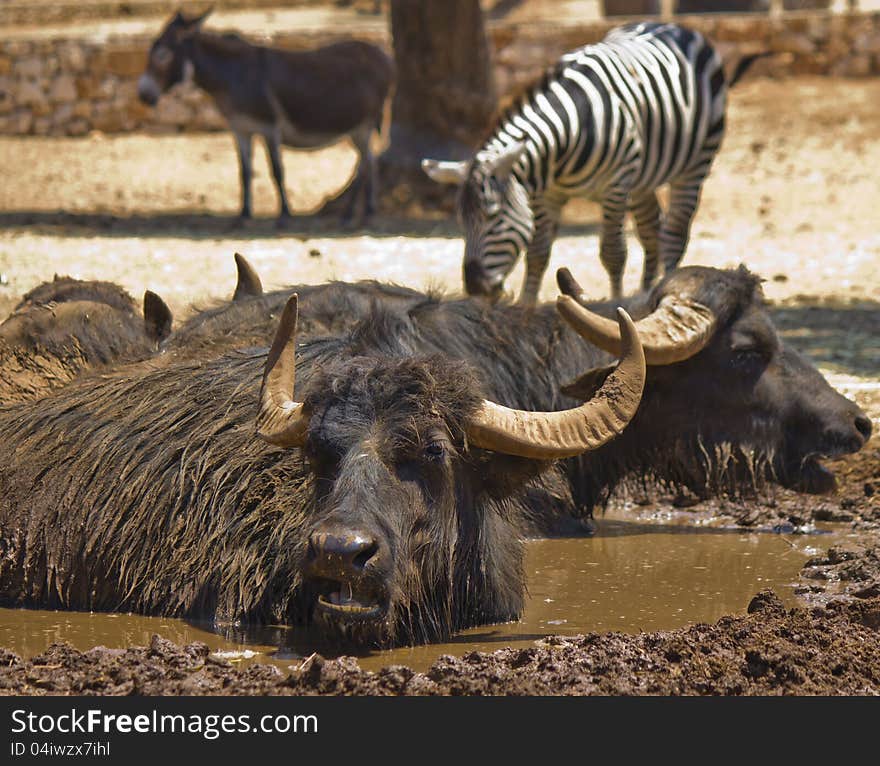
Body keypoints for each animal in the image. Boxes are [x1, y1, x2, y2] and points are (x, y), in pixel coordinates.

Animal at [137, 9, 392, 225]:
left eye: (162, 55)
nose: (142, 95)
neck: (233, 76)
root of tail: (384, 55)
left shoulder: (269, 127)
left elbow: (277, 171)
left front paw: (284, 216)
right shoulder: (240, 129)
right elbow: (244, 172)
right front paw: (243, 216)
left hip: (363, 125)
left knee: (364, 165)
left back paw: (349, 215)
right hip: (358, 129)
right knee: (370, 161)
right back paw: (368, 212)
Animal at [422, 24, 764, 306]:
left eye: (493, 216)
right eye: (461, 220)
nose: (475, 287)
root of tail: (677, 27)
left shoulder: (616, 184)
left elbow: (613, 253)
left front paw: (615, 303)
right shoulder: (546, 196)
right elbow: (538, 253)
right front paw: (525, 307)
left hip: (694, 165)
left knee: (675, 233)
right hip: (643, 180)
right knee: (650, 229)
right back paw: (646, 291)